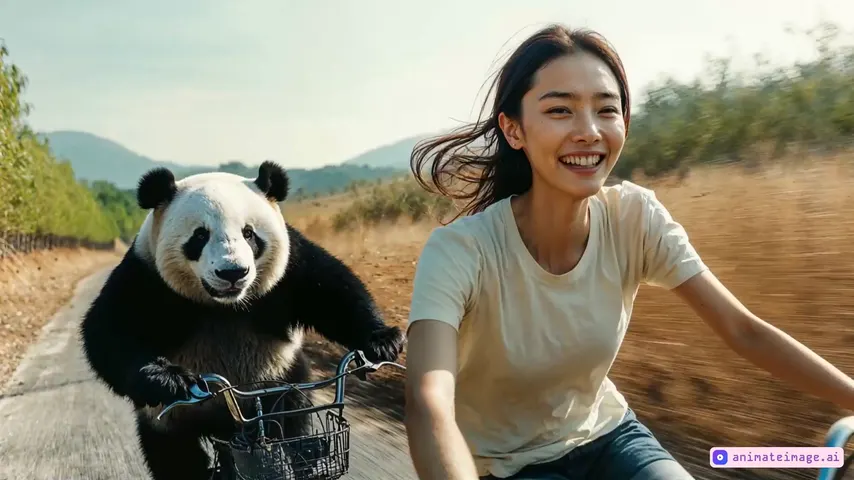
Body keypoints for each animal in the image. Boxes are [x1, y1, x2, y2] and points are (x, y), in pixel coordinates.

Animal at [79, 161, 405, 480]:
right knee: (173, 455)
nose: (233, 272)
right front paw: (162, 376)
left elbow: (331, 291)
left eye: (249, 233)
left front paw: (381, 342)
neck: (224, 306)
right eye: (200, 235)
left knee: (294, 415)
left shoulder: (289, 266)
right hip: (173, 417)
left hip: (282, 377)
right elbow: (107, 330)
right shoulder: (146, 275)